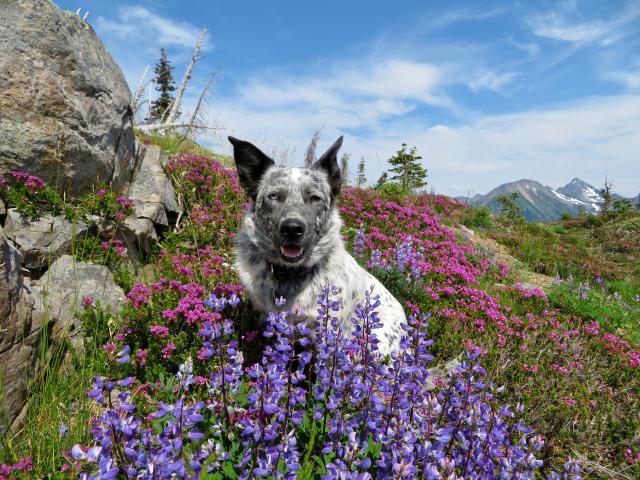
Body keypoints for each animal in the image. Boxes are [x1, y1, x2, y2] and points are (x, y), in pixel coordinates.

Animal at [229, 137, 404, 354]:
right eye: (274, 196)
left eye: (314, 198)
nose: (292, 229)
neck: (289, 275)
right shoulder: (266, 319)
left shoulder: (326, 334)